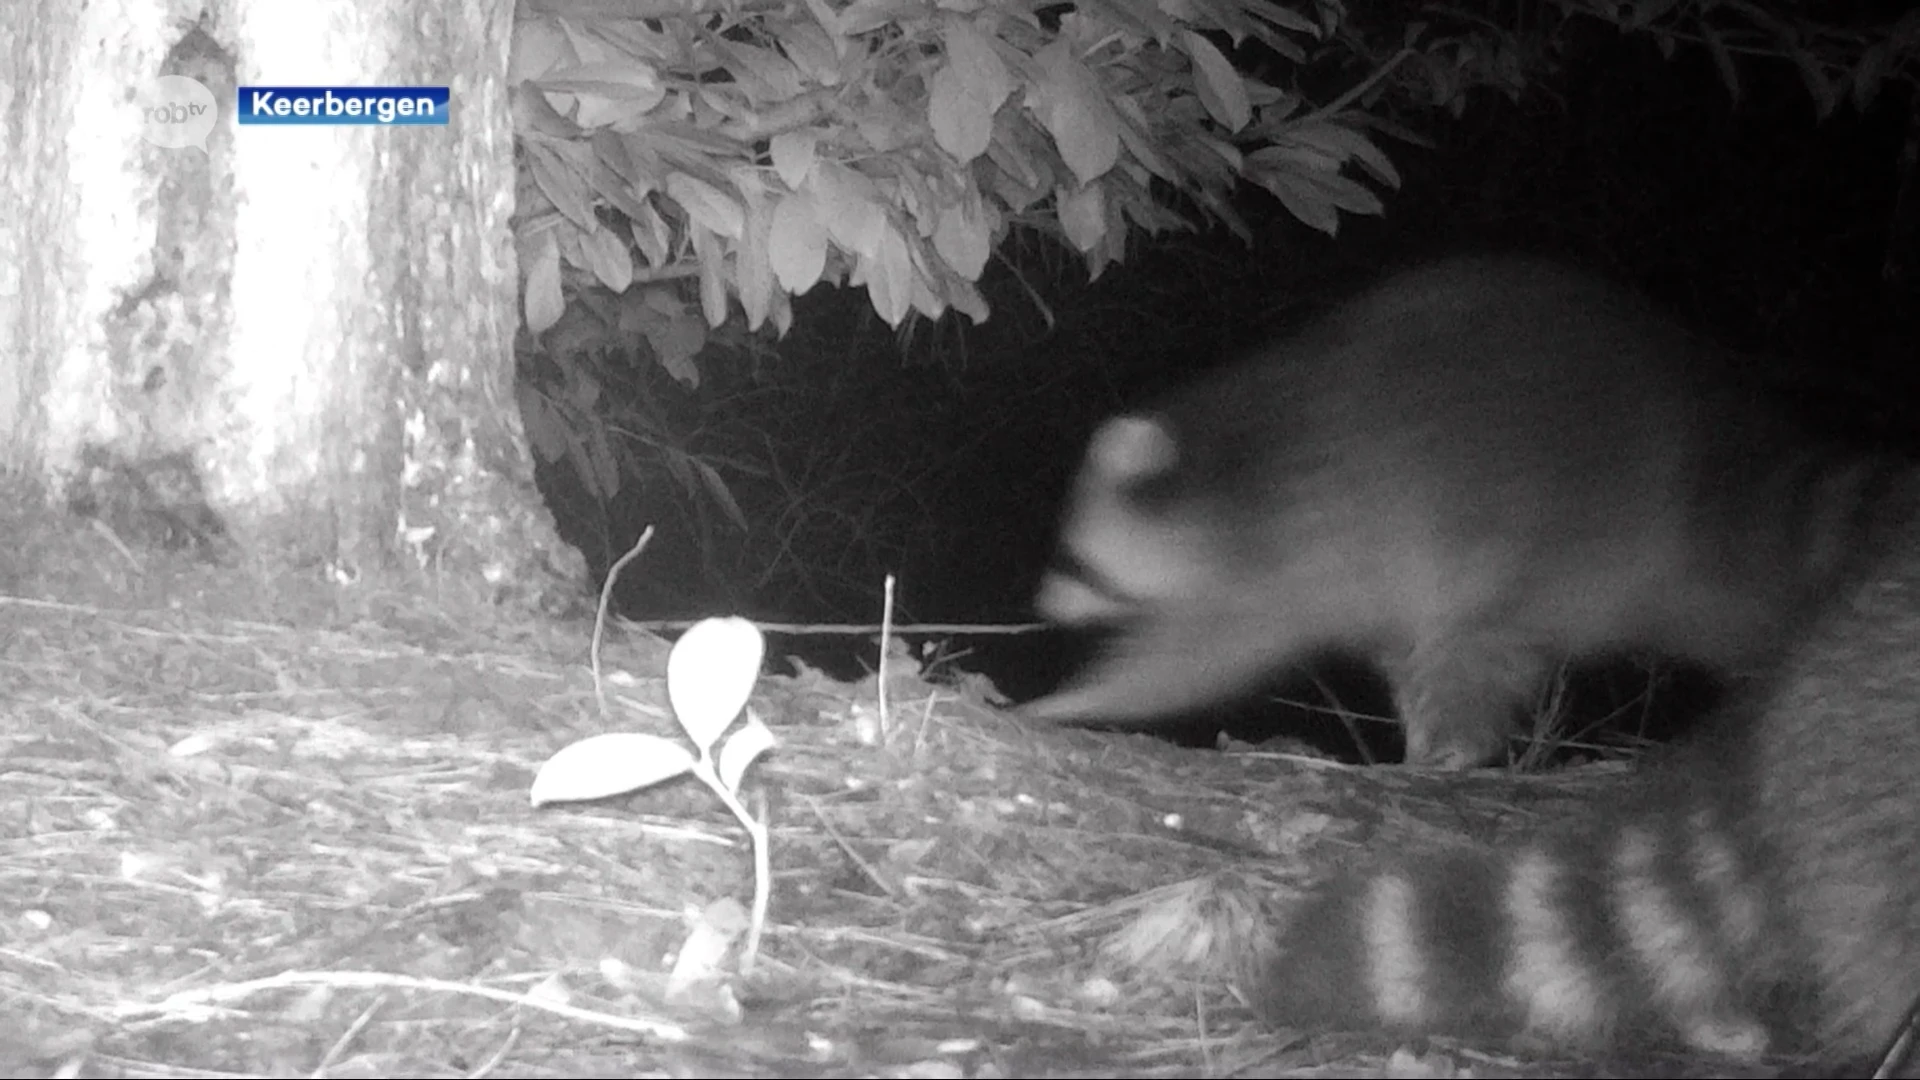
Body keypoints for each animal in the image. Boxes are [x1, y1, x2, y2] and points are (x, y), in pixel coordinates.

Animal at [1029, 253, 1881, 764]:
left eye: (1078, 561)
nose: (1040, 607)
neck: (1223, 465)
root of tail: (1700, 427)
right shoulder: (1359, 567)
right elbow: (1392, 646)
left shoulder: (1296, 543)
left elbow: (1195, 659)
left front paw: (1073, 699)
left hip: (1559, 522)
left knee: (1481, 643)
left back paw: (1453, 751)